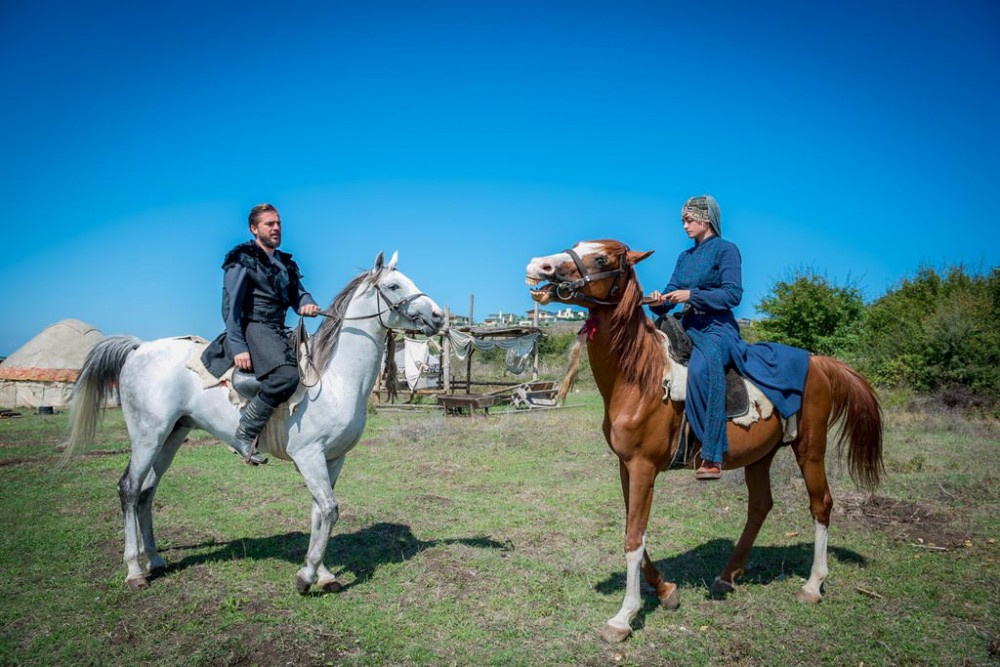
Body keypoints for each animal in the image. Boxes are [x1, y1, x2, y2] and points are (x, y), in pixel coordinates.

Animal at [68, 253, 444, 592]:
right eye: (394, 286)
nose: (439, 316)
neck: (334, 380)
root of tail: (138, 349)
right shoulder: (309, 456)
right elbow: (329, 509)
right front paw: (307, 576)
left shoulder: (333, 459)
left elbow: (319, 512)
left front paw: (323, 574)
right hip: (147, 437)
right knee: (130, 489)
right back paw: (134, 570)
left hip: (171, 437)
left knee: (147, 492)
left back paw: (156, 561)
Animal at [524, 240, 884, 640]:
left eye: (601, 258)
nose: (538, 266)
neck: (641, 377)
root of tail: (818, 362)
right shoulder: (625, 466)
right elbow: (636, 534)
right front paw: (666, 591)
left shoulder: (643, 467)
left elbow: (634, 539)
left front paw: (624, 617)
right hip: (761, 455)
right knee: (760, 506)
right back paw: (728, 576)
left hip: (810, 448)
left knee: (821, 503)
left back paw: (812, 585)